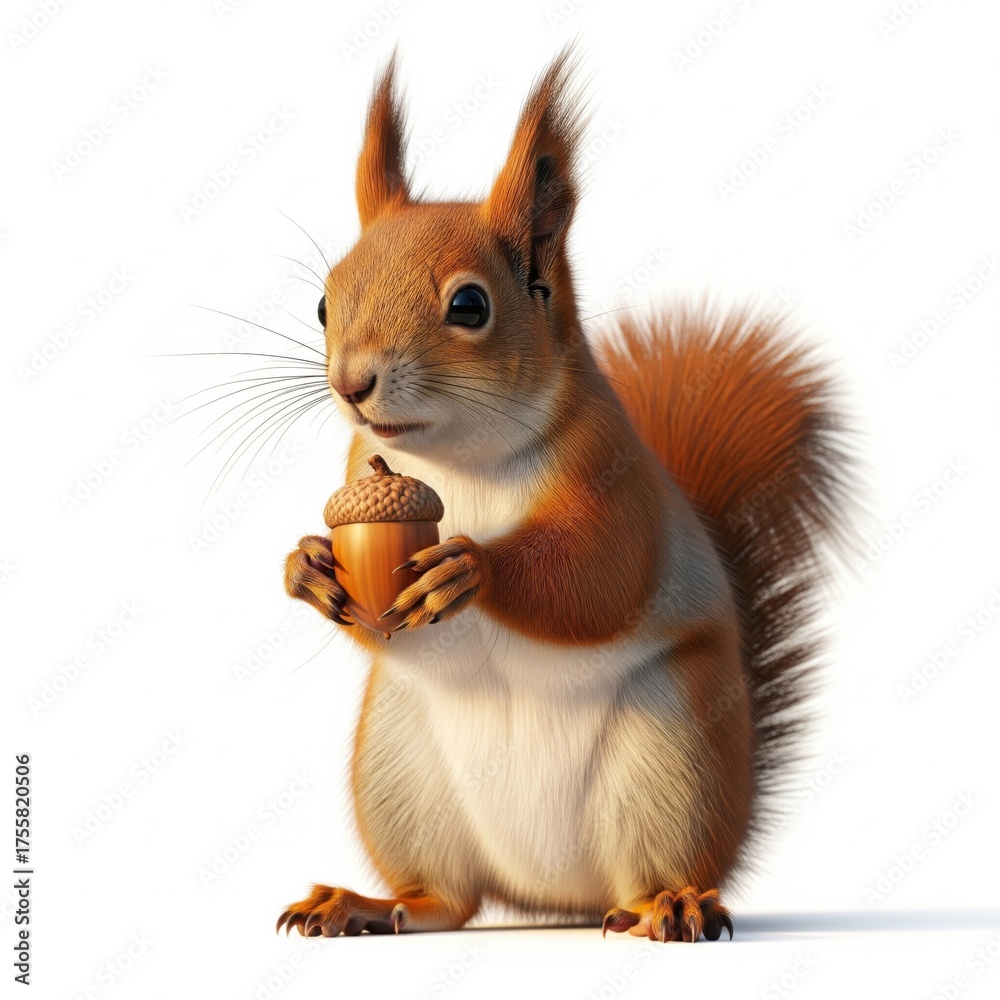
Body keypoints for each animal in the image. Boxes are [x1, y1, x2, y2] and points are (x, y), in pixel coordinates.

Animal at [277, 46, 852, 943]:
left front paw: (471, 570)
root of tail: (555, 898)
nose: (351, 383)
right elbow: (369, 616)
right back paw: (367, 905)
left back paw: (671, 904)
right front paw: (305, 565)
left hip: (671, 757)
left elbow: (597, 578)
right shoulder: (355, 470)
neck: (459, 462)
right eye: (323, 301)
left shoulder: (616, 477)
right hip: (398, 771)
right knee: (447, 900)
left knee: (652, 868)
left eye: (469, 304)